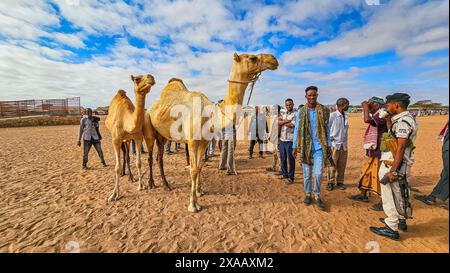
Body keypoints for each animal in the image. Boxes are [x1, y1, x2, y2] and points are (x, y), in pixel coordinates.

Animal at [104, 73, 156, 201]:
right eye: (137, 79)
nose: (151, 77)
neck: (126, 120)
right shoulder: (115, 140)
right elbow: (116, 168)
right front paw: (114, 194)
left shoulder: (137, 138)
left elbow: (138, 162)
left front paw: (141, 185)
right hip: (120, 139)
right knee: (123, 154)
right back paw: (124, 174)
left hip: (127, 140)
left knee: (126, 154)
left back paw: (130, 176)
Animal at [146, 52, 278, 211]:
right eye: (252, 58)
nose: (273, 59)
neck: (211, 113)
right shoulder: (192, 141)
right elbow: (193, 170)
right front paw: (193, 205)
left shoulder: (204, 141)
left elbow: (200, 166)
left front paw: (199, 192)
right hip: (149, 128)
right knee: (150, 157)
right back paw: (152, 184)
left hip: (162, 135)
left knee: (159, 158)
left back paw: (166, 185)